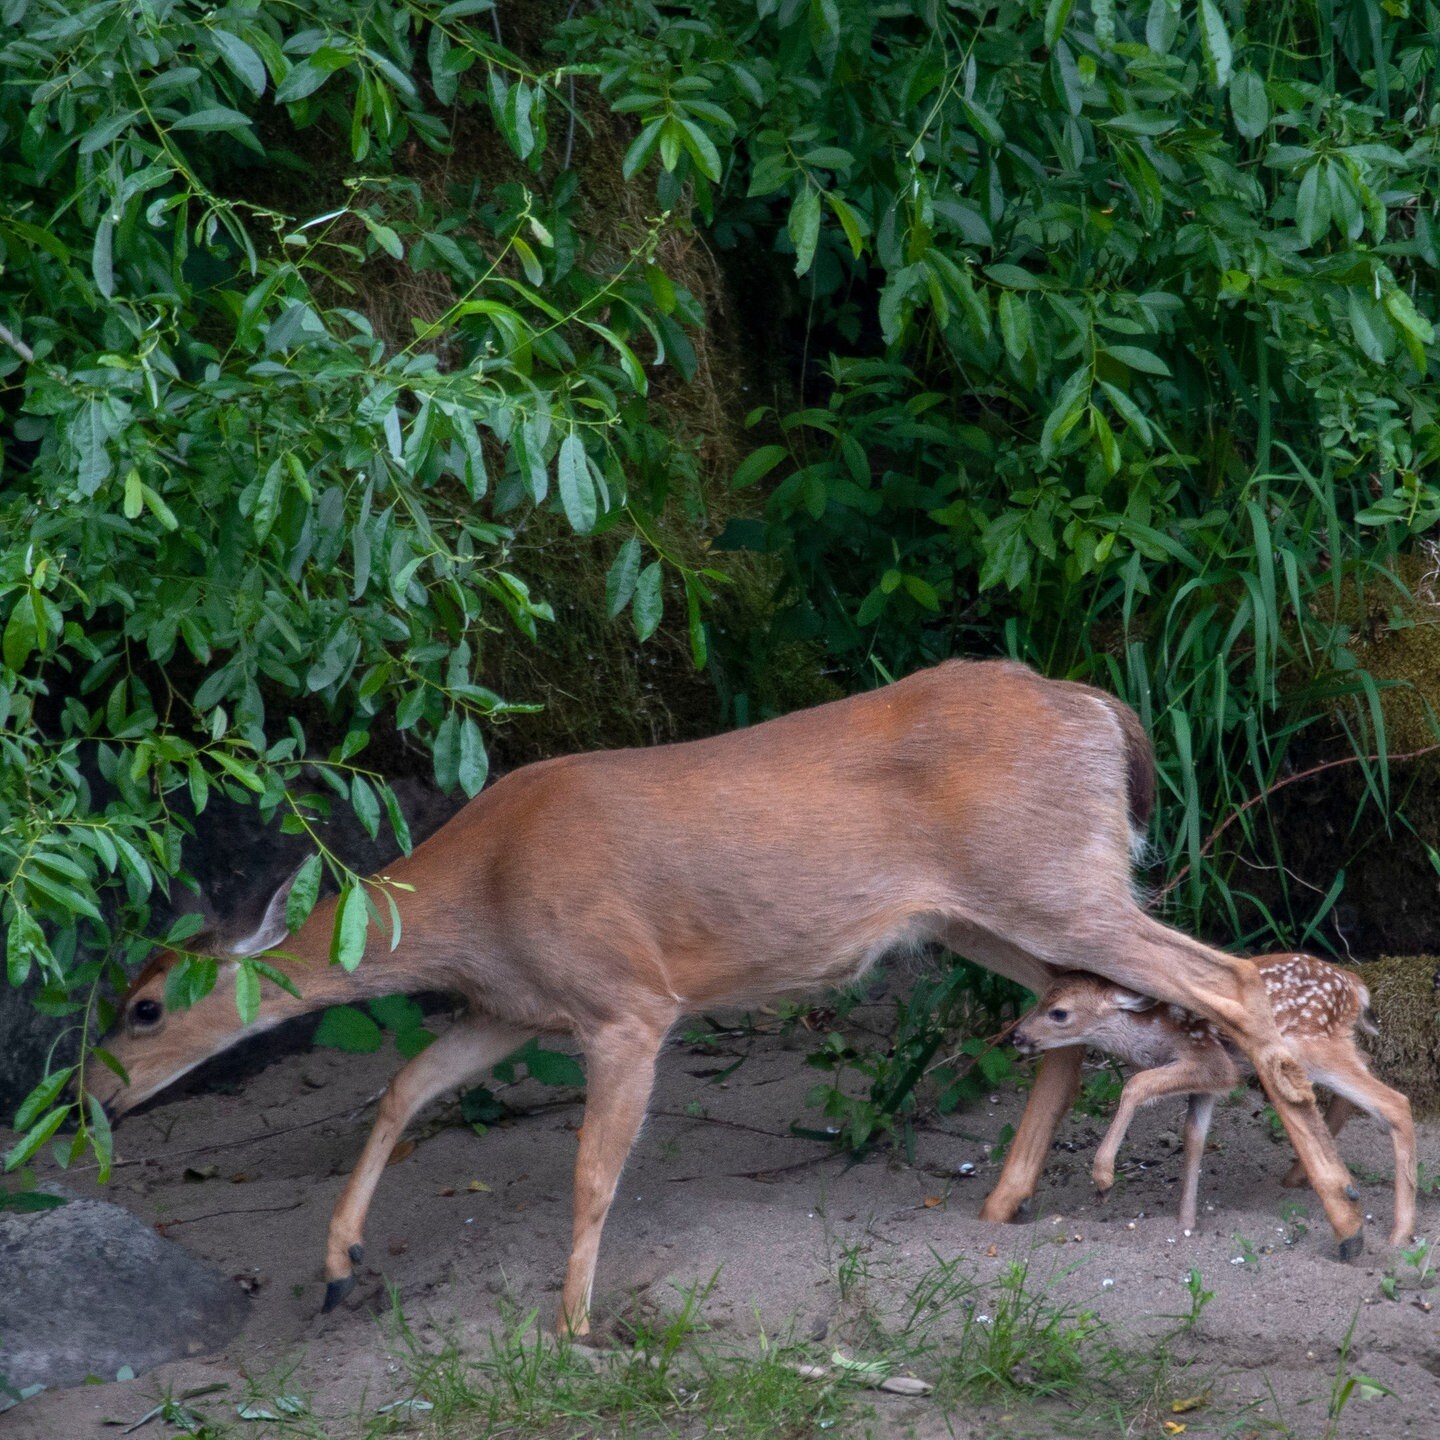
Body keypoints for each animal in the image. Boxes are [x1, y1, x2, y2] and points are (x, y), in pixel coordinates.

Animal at [84, 659, 1365, 1330]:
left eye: (144, 1008)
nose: (94, 1096)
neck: (482, 893)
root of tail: (1102, 709)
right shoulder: (513, 1007)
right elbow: (403, 1085)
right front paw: (342, 1266)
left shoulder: (626, 1000)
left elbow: (594, 1170)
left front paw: (573, 1324)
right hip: (989, 911)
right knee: (1071, 1010)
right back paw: (1006, 1205)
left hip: (1055, 883)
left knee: (1230, 983)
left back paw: (1351, 1221)